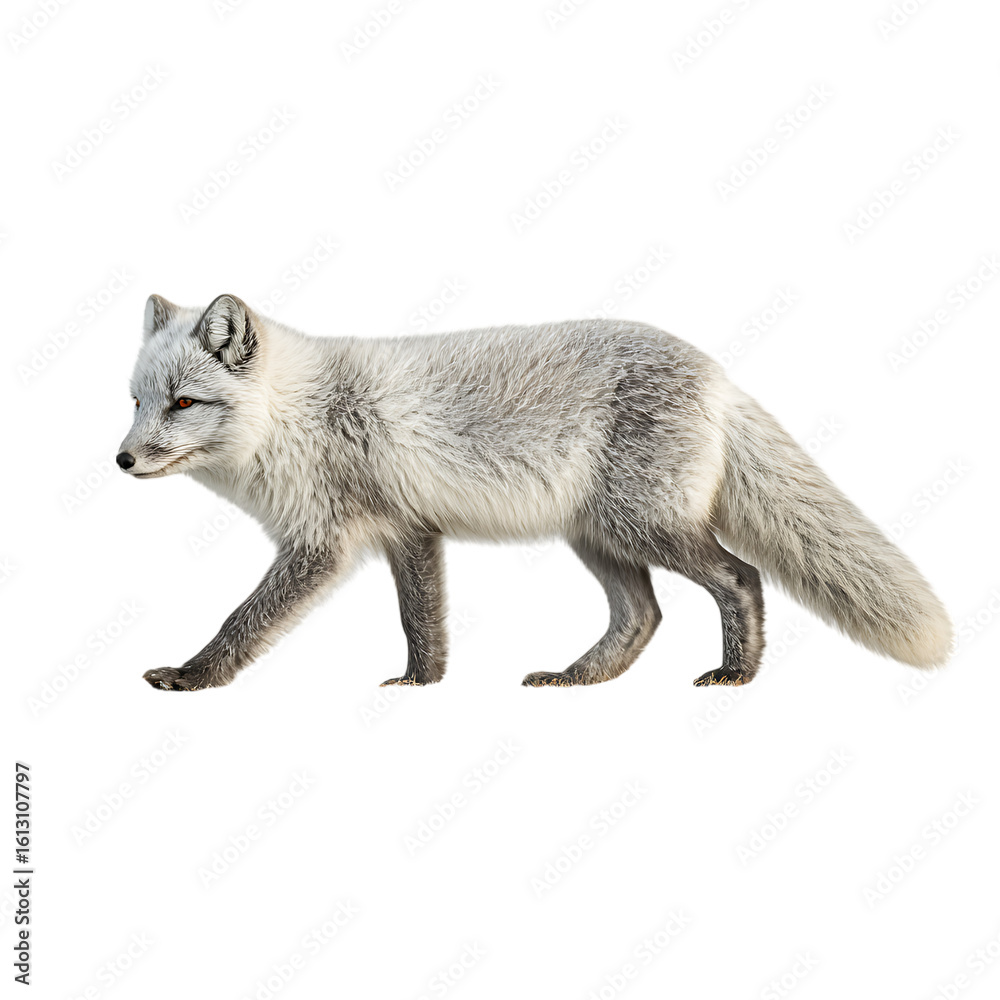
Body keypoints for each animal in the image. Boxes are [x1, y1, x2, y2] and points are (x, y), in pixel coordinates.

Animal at [117, 293, 952, 691]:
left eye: (183, 403)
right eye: (136, 400)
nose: (121, 461)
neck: (301, 415)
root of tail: (717, 374)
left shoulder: (325, 542)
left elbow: (243, 620)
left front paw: (194, 677)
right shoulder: (410, 531)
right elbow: (422, 623)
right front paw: (421, 685)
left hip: (643, 526)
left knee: (740, 576)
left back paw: (736, 676)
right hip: (599, 537)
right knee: (642, 616)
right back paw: (579, 679)